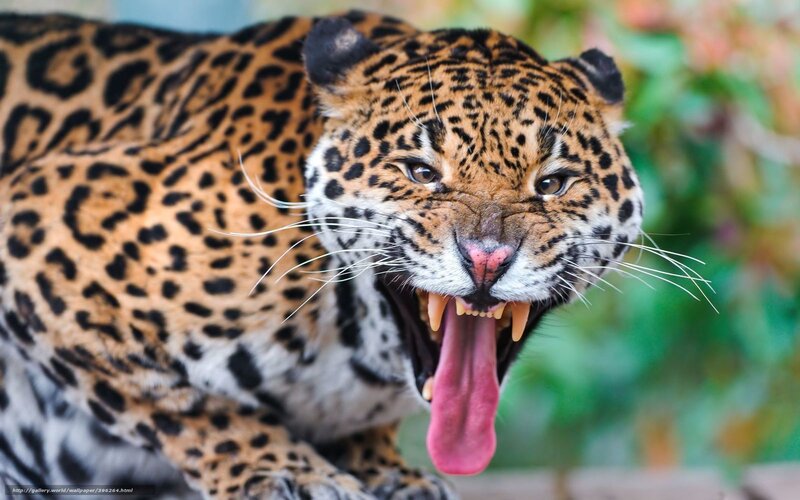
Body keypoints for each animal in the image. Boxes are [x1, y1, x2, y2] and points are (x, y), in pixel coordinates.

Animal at [0, 9, 644, 499]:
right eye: (420, 172)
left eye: (553, 182)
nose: (487, 258)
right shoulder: (36, 218)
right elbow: (181, 404)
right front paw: (288, 471)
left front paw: (390, 474)